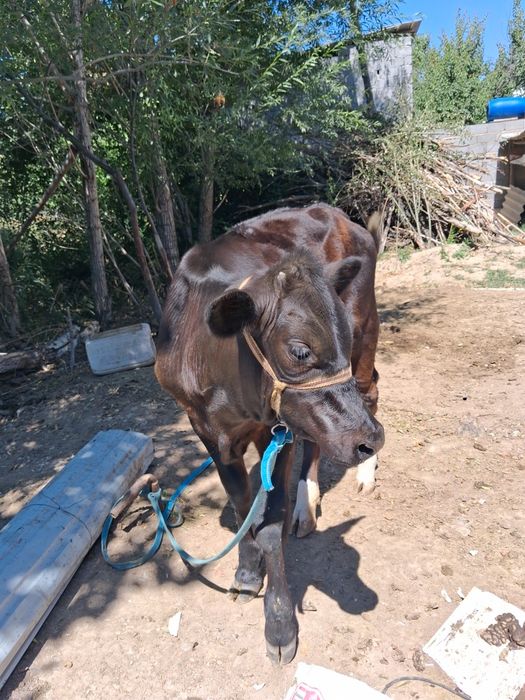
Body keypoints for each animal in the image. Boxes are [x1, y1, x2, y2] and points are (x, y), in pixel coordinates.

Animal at [154, 203, 384, 664]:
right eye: (300, 351)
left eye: (342, 336)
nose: (369, 439)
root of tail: (334, 213)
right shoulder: (206, 429)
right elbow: (242, 505)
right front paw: (246, 570)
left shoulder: (276, 433)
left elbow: (272, 526)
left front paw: (279, 624)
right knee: (317, 438)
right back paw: (309, 504)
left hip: (368, 333)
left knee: (371, 392)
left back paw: (361, 474)